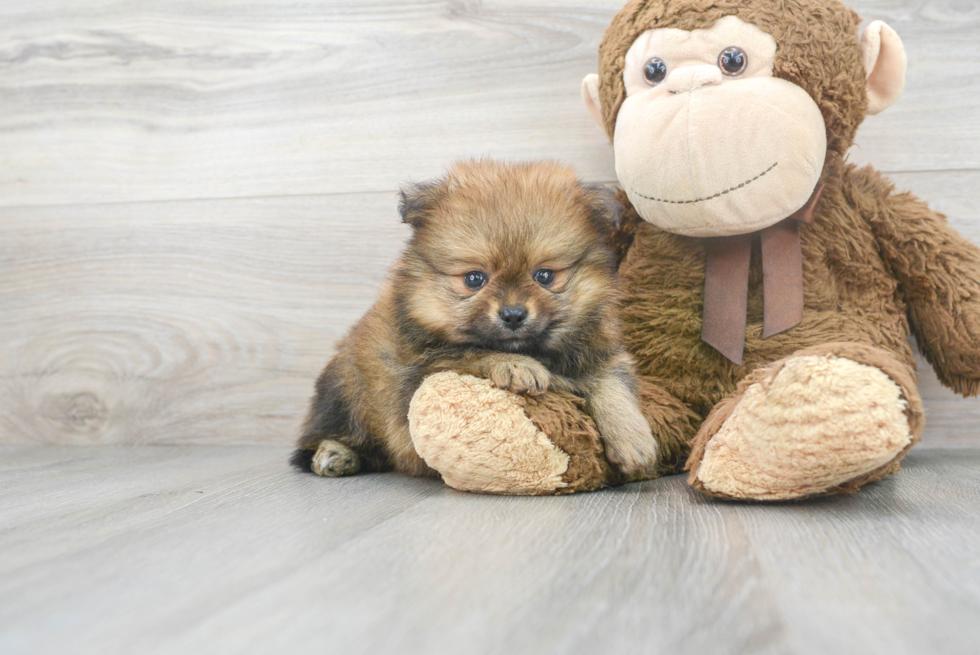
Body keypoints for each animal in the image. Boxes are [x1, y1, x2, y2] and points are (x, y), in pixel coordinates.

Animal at [290, 161, 660, 482]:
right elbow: (476, 353)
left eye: (544, 276)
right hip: (344, 391)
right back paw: (335, 454)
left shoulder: (603, 354)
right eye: (474, 279)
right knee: (327, 435)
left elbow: (613, 387)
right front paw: (516, 366)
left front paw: (634, 441)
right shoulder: (427, 366)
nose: (513, 314)